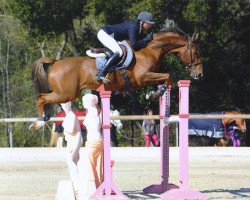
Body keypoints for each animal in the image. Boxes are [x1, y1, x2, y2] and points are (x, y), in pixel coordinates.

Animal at [31, 25, 203, 130]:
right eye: (195, 51)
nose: (200, 74)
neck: (151, 50)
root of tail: (55, 62)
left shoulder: (149, 77)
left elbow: (165, 78)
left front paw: (154, 93)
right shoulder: (143, 77)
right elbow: (168, 76)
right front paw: (155, 94)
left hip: (66, 93)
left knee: (42, 97)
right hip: (66, 94)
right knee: (40, 97)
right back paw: (39, 122)